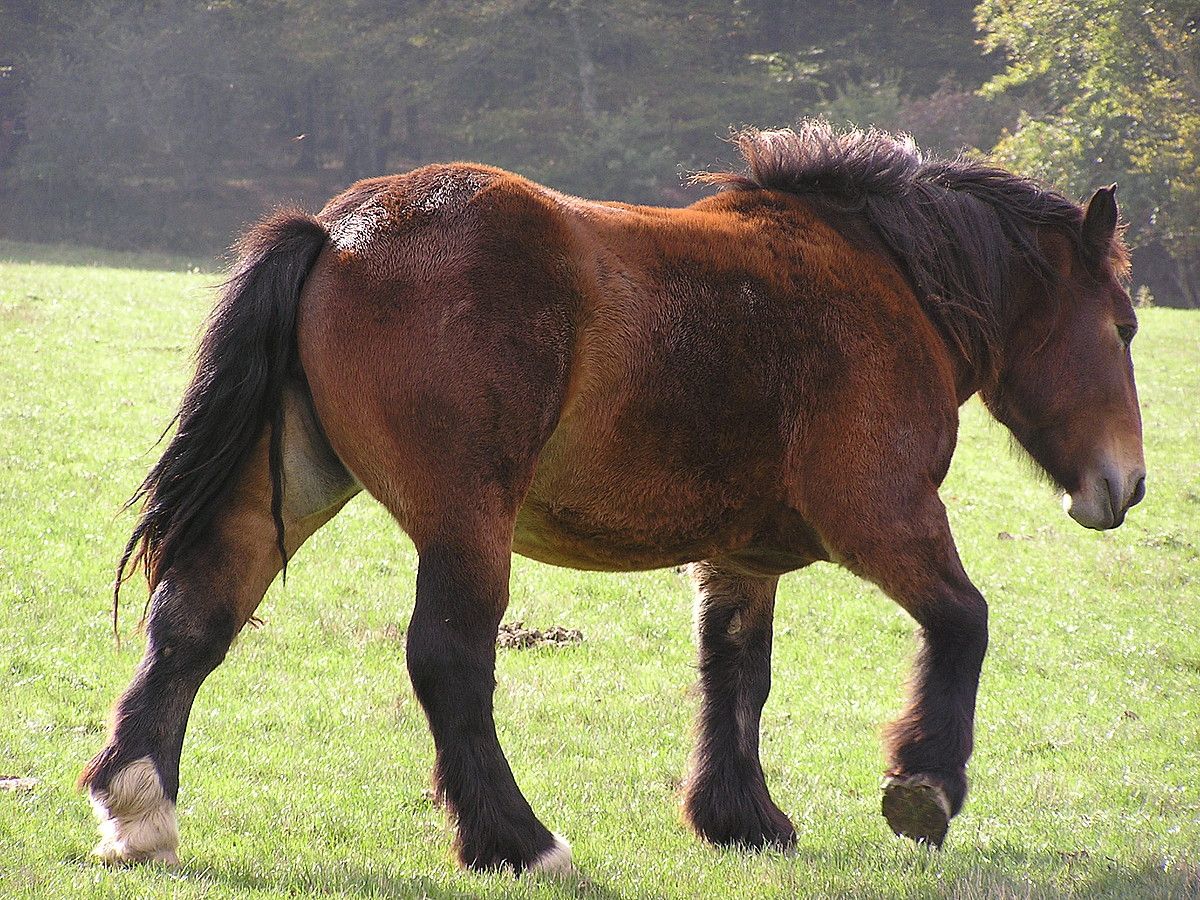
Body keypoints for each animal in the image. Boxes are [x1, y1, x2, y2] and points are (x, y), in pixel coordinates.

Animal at [82, 120, 1142, 873]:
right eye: (1126, 326)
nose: (1126, 484)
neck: (888, 282)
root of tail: (339, 229)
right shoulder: (883, 511)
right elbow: (964, 620)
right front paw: (924, 785)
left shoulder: (739, 555)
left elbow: (736, 674)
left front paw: (741, 819)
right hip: (466, 521)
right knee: (448, 660)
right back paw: (519, 843)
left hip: (291, 486)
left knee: (192, 622)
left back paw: (139, 811)